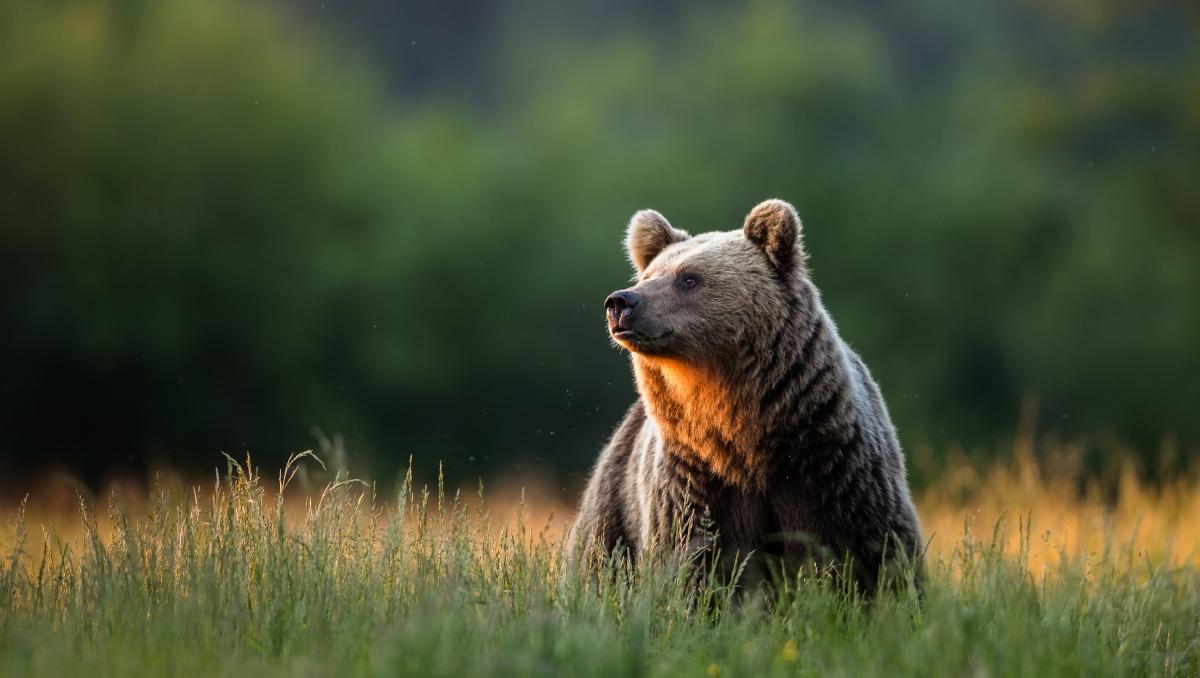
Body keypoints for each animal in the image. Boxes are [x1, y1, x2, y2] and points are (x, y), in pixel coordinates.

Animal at [566, 198, 921, 590]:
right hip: (613, 502)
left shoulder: (832, 467)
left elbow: (876, 553)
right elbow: (690, 563)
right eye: (647, 277)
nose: (621, 303)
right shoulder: (695, 480)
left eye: (688, 278)